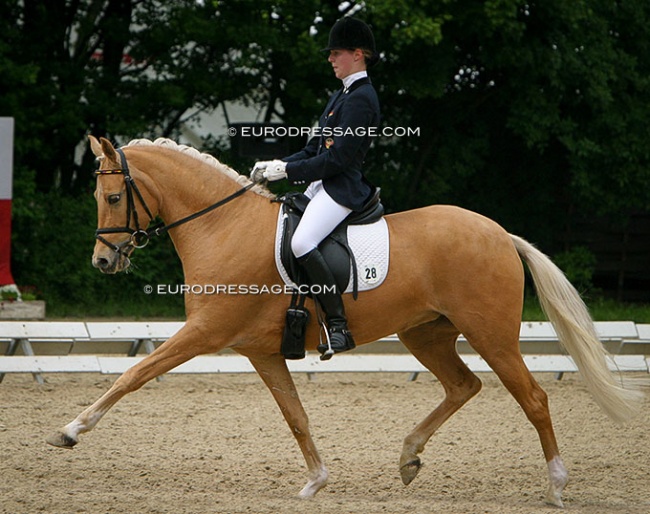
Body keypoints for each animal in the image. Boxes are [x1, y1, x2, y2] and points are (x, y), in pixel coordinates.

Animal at [46, 135, 644, 504]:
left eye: (113, 196)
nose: (103, 262)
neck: (223, 225)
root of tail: (499, 233)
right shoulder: (261, 351)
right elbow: (296, 416)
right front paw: (316, 482)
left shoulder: (204, 333)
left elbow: (132, 375)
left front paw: (70, 430)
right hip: (425, 333)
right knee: (463, 386)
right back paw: (408, 457)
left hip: (491, 334)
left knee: (533, 398)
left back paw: (557, 485)